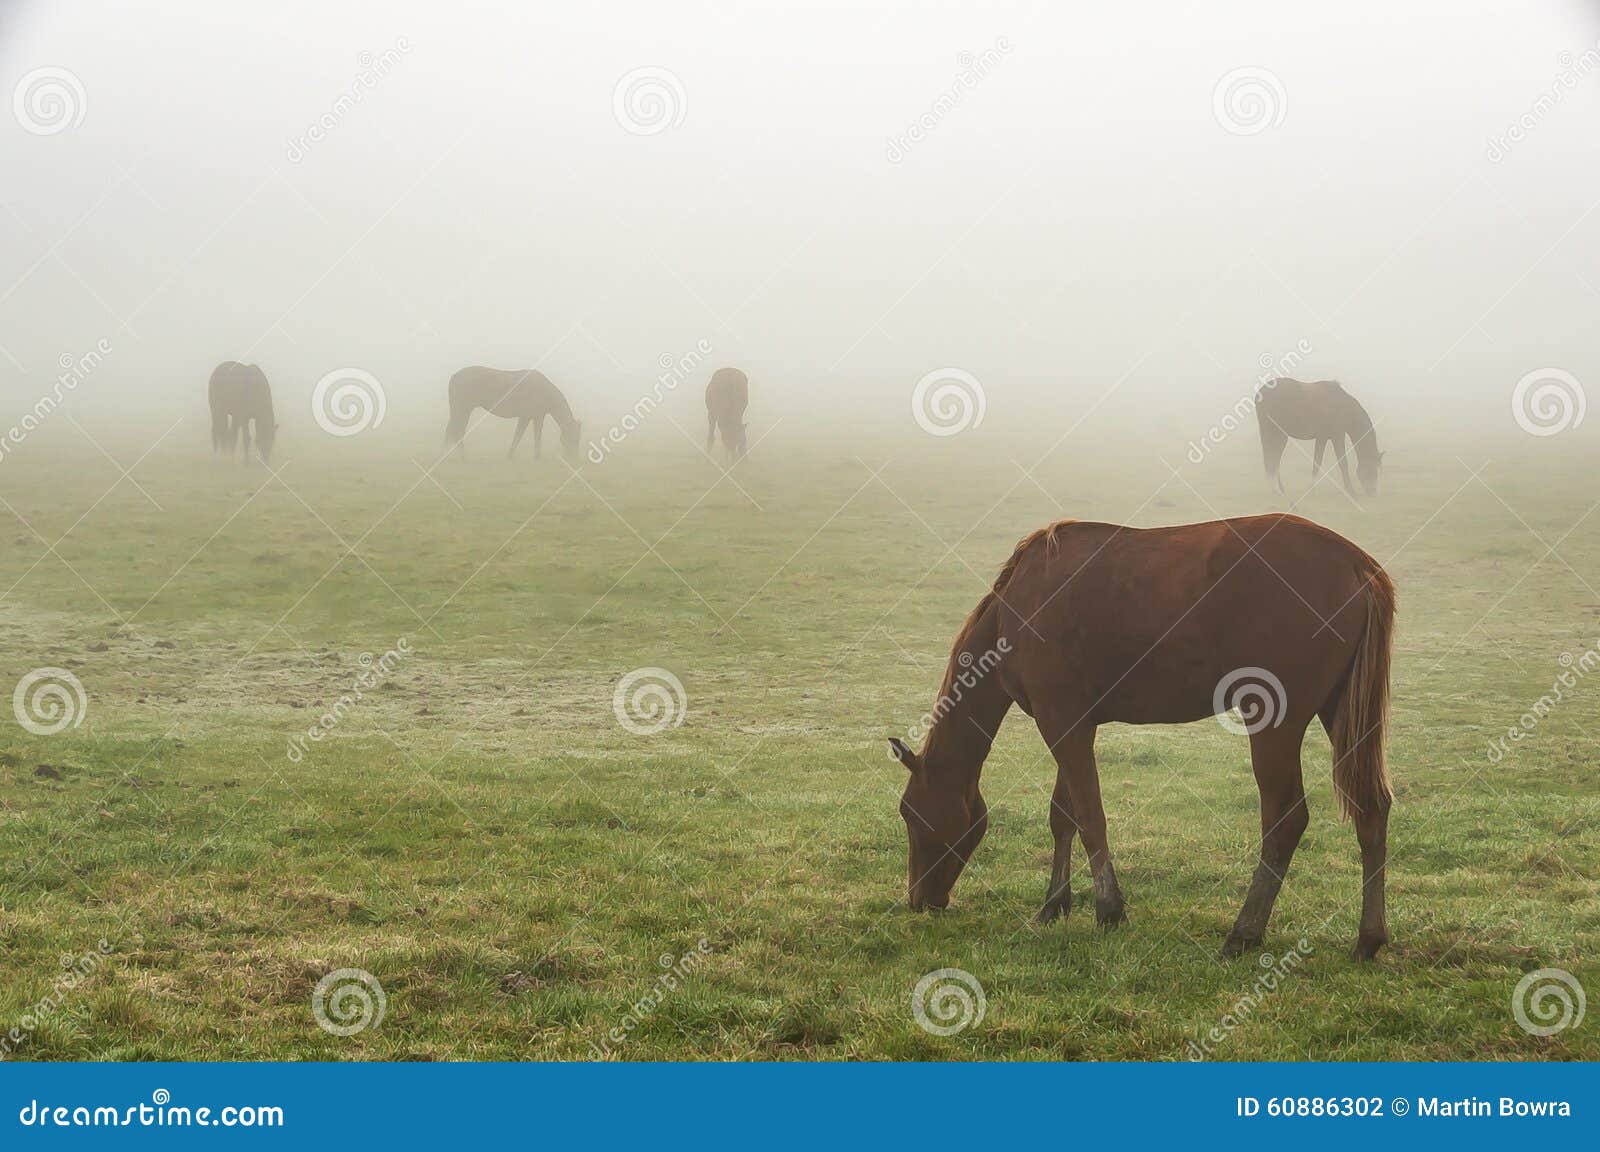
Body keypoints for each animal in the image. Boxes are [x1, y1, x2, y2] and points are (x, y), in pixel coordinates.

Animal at [444, 367, 581, 460]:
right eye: (573, 437)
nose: (574, 457)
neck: (545, 391)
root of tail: (454, 376)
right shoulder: (525, 416)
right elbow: (518, 435)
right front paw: (511, 455)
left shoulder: (538, 417)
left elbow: (536, 436)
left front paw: (536, 456)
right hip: (461, 409)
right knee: (455, 430)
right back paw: (457, 456)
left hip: (464, 410)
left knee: (455, 430)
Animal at [888, 513, 1395, 961]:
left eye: (909, 813)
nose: (918, 900)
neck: (1017, 606)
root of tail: (1358, 565)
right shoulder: (1076, 723)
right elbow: (1064, 816)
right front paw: (1054, 904)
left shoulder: (1060, 723)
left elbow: (1090, 817)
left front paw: (1109, 909)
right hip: (1342, 715)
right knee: (1372, 809)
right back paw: (1368, 938)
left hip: (1275, 726)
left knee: (1285, 821)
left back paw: (1244, 932)